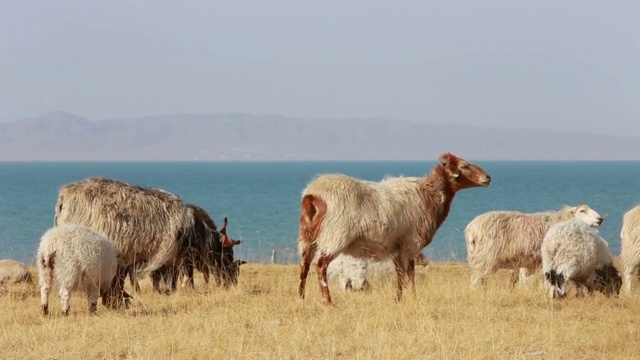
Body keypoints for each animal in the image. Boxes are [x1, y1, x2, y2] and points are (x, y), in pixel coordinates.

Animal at [298, 152, 492, 304]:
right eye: (464, 166)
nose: (488, 177)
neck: (429, 195)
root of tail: (313, 195)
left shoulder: (397, 248)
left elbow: (402, 275)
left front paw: (402, 299)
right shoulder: (410, 244)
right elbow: (409, 275)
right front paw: (409, 299)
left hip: (308, 236)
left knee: (304, 265)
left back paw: (301, 297)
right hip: (335, 235)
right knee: (320, 266)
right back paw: (328, 301)